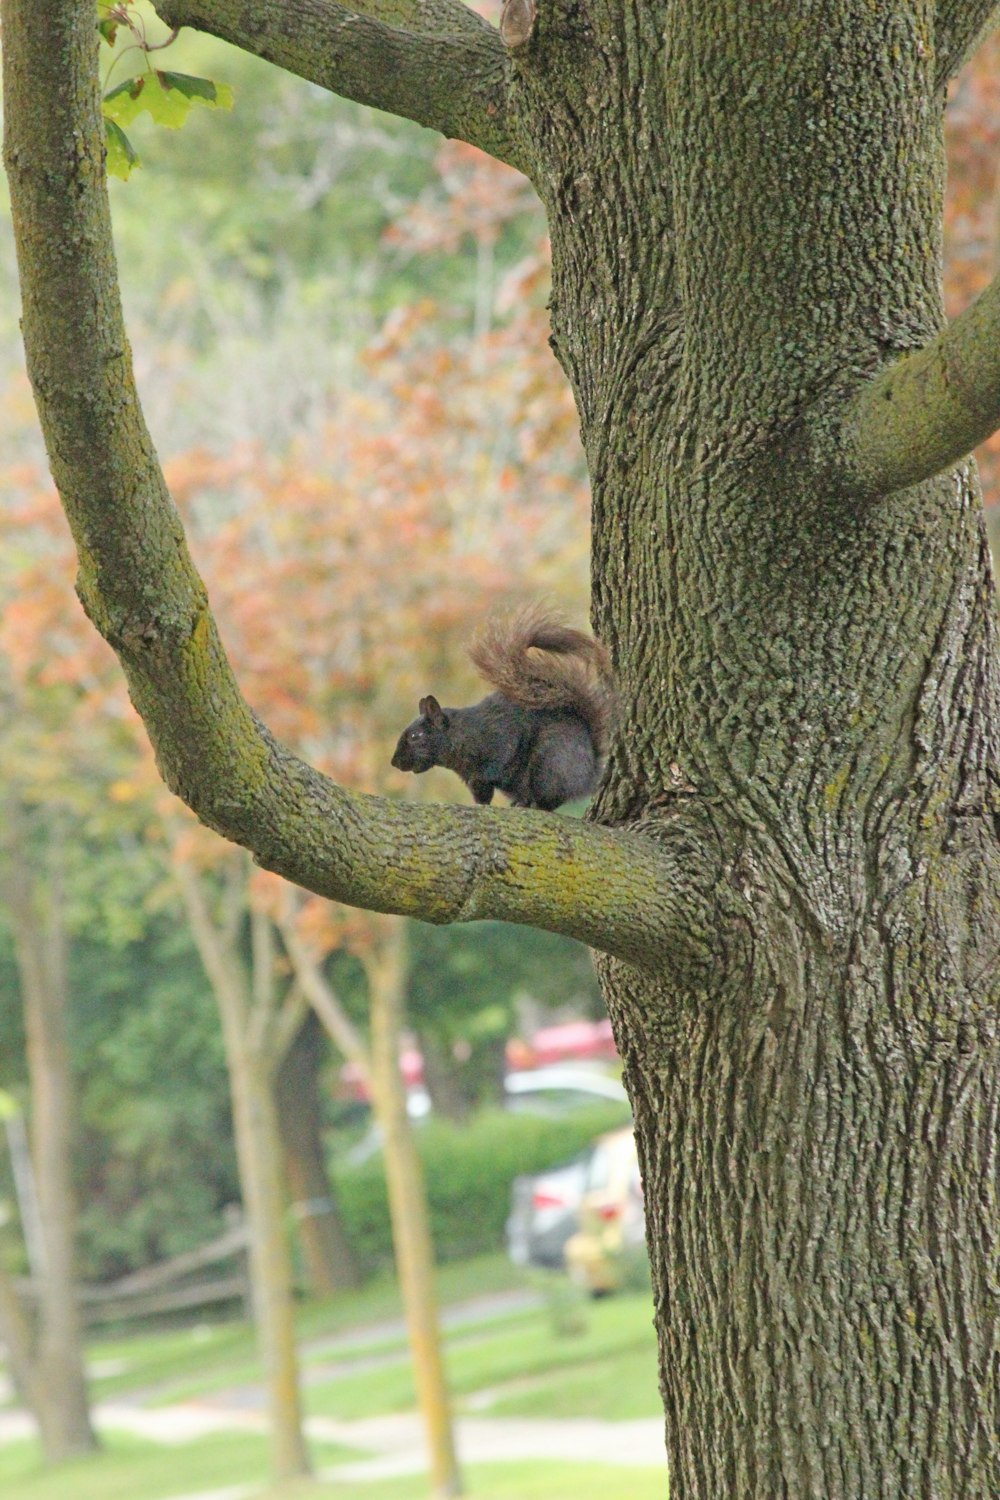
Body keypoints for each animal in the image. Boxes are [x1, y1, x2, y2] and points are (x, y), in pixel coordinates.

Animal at [389, 603, 611, 810]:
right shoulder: (469, 776)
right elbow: (482, 794)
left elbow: (497, 763)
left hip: (551, 763)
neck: (461, 734)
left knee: (552, 798)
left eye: (415, 736)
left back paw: (533, 804)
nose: (394, 763)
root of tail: (589, 772)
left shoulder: (498, 737)